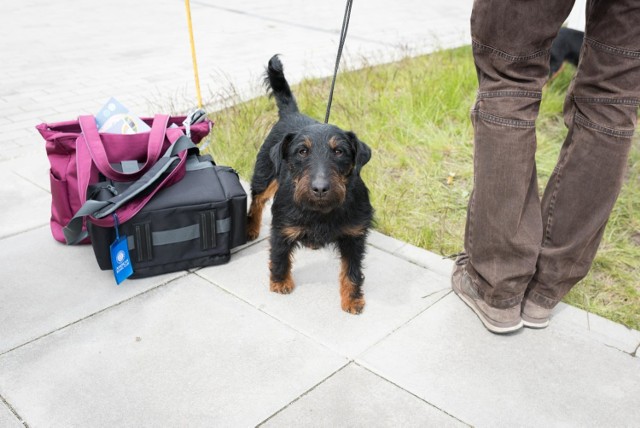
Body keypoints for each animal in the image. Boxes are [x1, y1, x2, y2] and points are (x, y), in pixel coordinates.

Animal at [246, 54, 376, 314]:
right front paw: (280, 282)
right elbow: (279, 255)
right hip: (264, 175)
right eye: (302, 151)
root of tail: (291, 114)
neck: (322, 211)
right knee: (256, 200)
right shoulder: (282, 227)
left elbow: (352, 270)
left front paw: (352, 299)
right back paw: (251, 228)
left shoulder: (354, 236)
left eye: (339, 151)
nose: (320, 188)